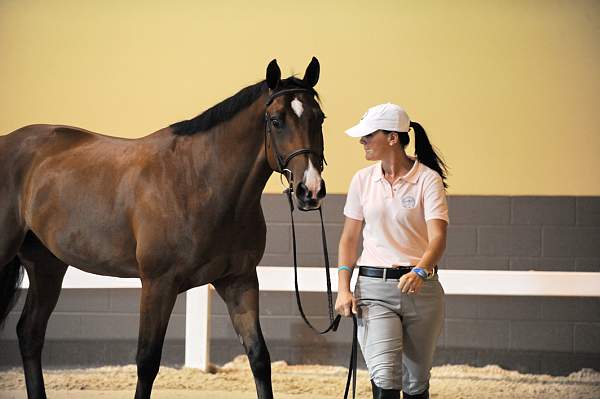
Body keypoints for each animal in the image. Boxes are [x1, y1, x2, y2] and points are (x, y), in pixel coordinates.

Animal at [0, 57, 328, 399]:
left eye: (319, 118)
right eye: (276, 121)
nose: (310, 190)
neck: (200, 183)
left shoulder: (239, 281)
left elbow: (259, 357)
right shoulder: (158, 284)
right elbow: (147, 361)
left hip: (47, 265)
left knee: (30, 333)